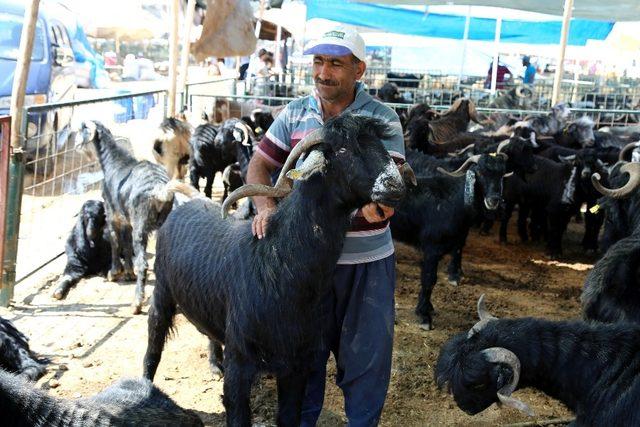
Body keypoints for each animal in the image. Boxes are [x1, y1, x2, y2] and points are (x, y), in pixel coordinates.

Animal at [74, 120, 198, 314]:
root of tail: (160, 190)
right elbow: (125, 244)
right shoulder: (127, 221)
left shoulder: (112, 214)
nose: (75, 143)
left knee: (143, 264)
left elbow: (115, 242)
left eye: (81, 128)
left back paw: (136, 303)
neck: (113, 161)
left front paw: (114, 273)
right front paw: (128, 273)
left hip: (141, 227)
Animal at [390, 152, 510, 330]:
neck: (453, 199)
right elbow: (429, 280)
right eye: (480, 173)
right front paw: (424, 317)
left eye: (501, 174)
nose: (494, 200)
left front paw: (428, 309)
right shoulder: (431, 249)